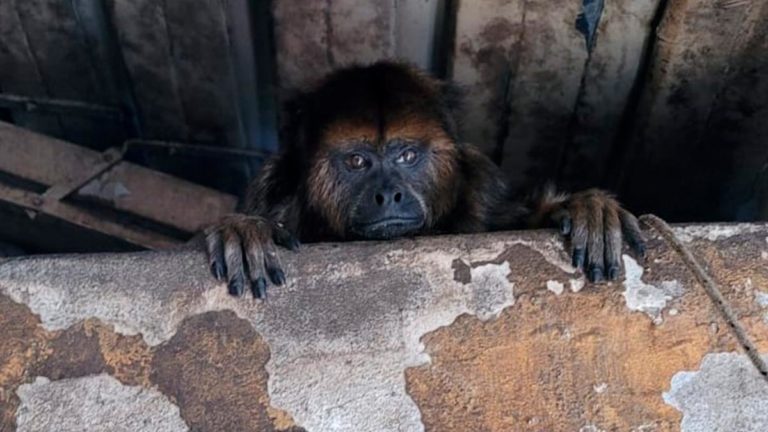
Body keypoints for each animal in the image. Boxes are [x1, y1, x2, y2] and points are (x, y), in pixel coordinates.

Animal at [202, 60, 640, 298]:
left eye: (407, 156)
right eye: (357, 161)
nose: (388, 195)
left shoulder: (482, 188)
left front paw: (583, 209)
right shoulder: (268, 185)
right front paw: (245, 230)